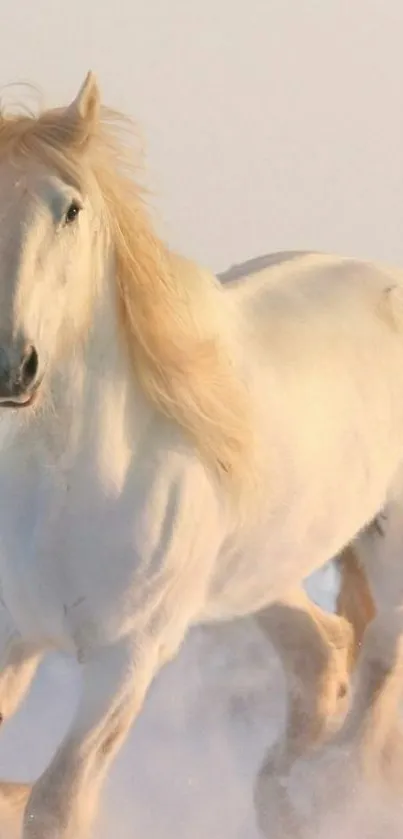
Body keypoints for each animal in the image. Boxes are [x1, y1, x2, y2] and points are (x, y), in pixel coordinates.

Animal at [0, 74, 403, 839]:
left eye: (71, 209)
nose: (12, 366)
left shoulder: (126, 659)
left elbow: (54, 804)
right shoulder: (11, 636)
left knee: (370, 686)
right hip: (261, 568)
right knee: (321, 653)